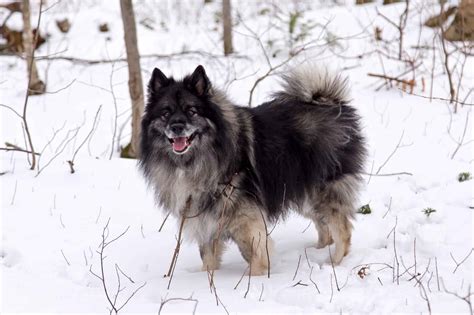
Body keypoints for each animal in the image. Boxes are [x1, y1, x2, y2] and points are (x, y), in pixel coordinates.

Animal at [138, 65, 366, 276]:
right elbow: (208, 258)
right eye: (165, 113)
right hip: (304, 195)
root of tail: (331, 103)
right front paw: (207, 278)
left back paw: (333, 264)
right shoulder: (204, 219)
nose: (176, 127)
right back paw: (315, 252)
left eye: (191, 111)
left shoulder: (248, 221)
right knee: (324, 228)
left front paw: (256, 280)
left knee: (342, 231)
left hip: (323, 191)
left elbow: (256, 257)